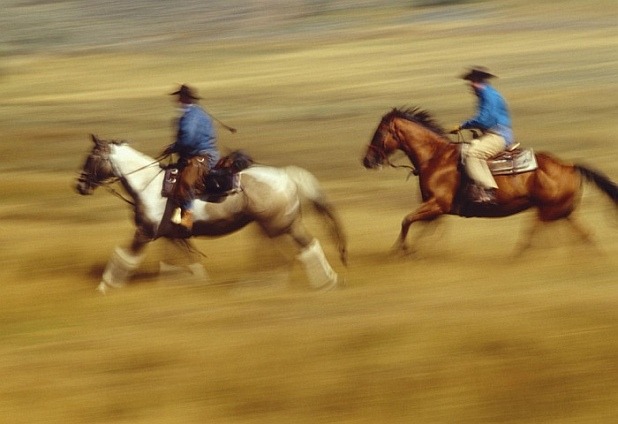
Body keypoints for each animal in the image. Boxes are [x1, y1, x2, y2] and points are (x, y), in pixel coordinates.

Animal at [76, 136, 344, 292]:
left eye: (91, 158)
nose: (80, 186)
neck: (148, 186)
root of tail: (287, 175)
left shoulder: (144, 233)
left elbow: (124, 257)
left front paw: (105, 287)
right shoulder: (172, 236)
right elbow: (183, 263)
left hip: (281, 225)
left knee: (306, 247)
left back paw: (326, 282)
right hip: (274, 226)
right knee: (285, 253)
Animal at [360, 107, 616, 252]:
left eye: (379, 133)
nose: (367, 160)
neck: (435, 158)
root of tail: (569, 166)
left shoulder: (437, 205)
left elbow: (406, 221)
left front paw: (400, 250)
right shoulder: (435, 210)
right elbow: (422, 228)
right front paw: (413, 250)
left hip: (547, 211)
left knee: (534, 237)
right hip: (559, 212)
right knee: (583, 235)